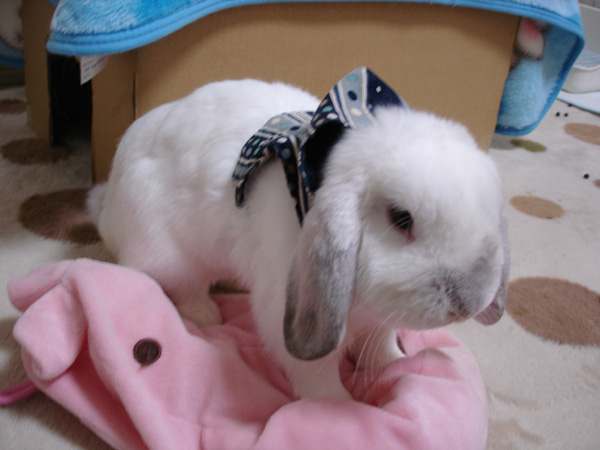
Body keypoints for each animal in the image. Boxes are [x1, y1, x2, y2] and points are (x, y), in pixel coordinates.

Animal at [88, 69, 509, 400]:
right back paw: (207, 315)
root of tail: (109, 203)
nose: (468, 303)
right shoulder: (286, 315)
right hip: (169, 252)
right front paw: (337, 405)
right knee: (185, 287)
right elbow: (315, 374)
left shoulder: (380, 320)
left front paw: (397, 362)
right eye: (401, 218)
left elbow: (382, 344)